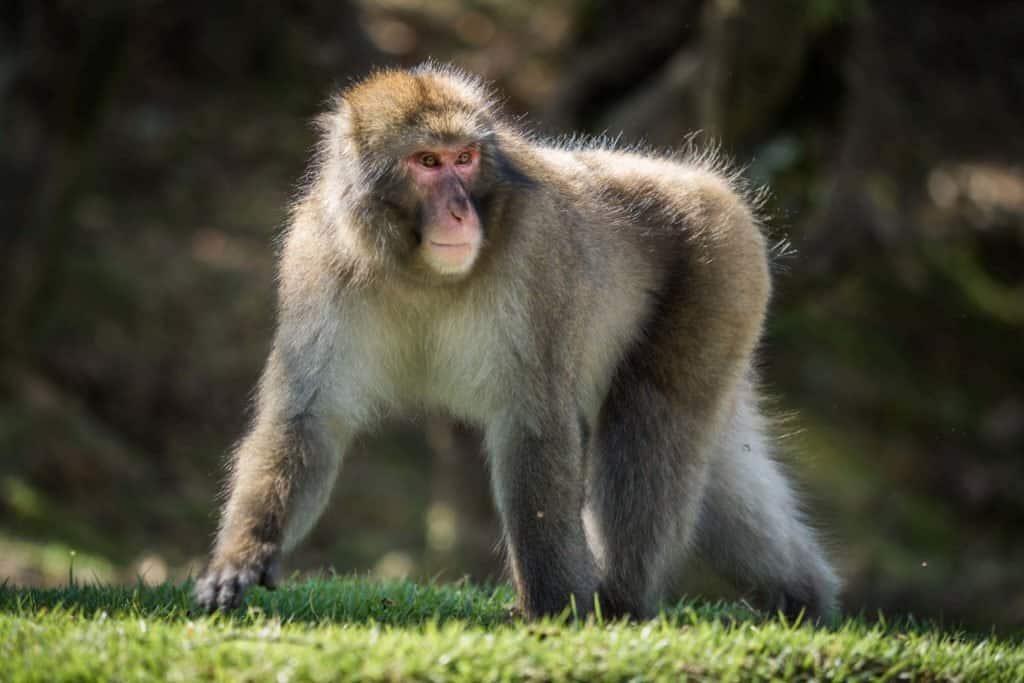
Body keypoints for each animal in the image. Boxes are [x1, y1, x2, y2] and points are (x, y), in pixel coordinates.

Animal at [192, 62, 839, 618]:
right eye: (428, 161)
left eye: (465, 158)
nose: (459, 212)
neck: (422, 273)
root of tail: (705, 181)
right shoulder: (318, 261)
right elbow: (308, 417)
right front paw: (244, 556)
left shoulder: (536, 254)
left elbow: (534, 425)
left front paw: (553, 609)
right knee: (722, 472)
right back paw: (803, 600)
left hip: (717, 275)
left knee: (649, 422)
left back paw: (623, 604)